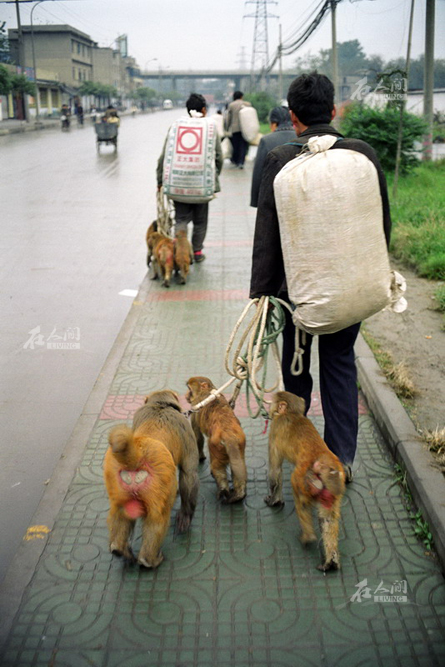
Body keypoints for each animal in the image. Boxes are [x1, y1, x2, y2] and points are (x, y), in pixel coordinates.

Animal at [104, 392, 198, 568]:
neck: (160, 405)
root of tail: (135, 457)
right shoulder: (184, 427)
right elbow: (189, 473)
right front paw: (186, 514)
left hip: (116, 479)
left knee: (120, 511)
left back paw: (119, 549)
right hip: (156, 485)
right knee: (158, 518)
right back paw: (149, 560)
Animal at [266, 392, 346, 576]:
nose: (269, 409)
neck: (292, 413)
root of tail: (326, 464)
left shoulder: (274, 429)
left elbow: (275, 470)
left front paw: (273, 500)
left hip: (304, 480)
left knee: (299, 498)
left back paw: (308, 537)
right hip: (333, 491)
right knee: (328, 518)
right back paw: (331, 561)